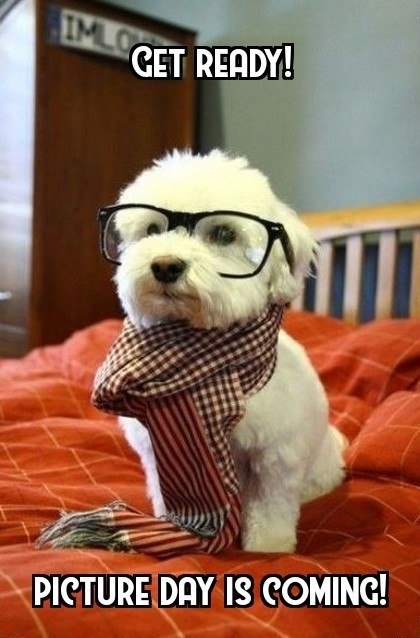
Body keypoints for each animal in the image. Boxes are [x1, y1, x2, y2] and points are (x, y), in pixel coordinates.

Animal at [107, 149, 346, 553]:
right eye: (153, 229)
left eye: (223, 234)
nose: (165, 265)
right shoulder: (159, 452)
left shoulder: (276, 455)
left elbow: (271, 506)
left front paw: (268, 547)